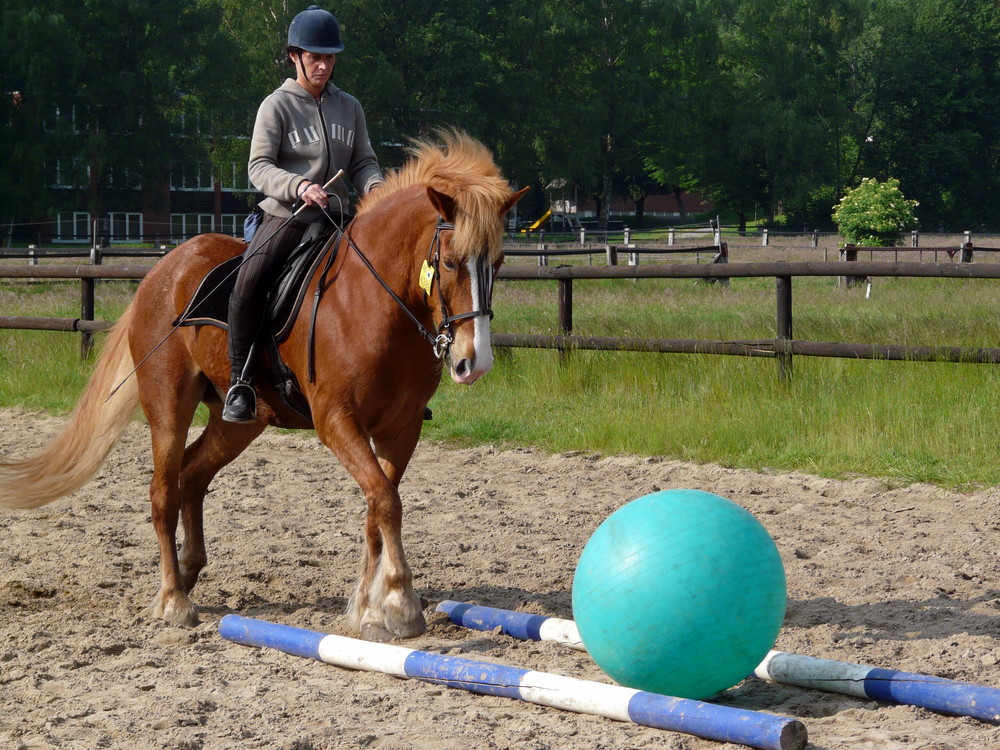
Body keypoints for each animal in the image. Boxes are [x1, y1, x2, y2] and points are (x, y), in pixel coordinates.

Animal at [0, 132, 528, 644]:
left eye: (500, 262)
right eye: (453, 262)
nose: (474, 362)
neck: (377, 304)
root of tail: (161, 271)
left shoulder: (401, 429)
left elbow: (378, 508)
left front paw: (366, 608)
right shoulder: (337, 422)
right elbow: (384, 500)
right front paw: (399, 603)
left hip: (239, 421)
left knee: (192, 475)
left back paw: (189, 571)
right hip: (168, 405)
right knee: (163, 491)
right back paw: (174, 599)